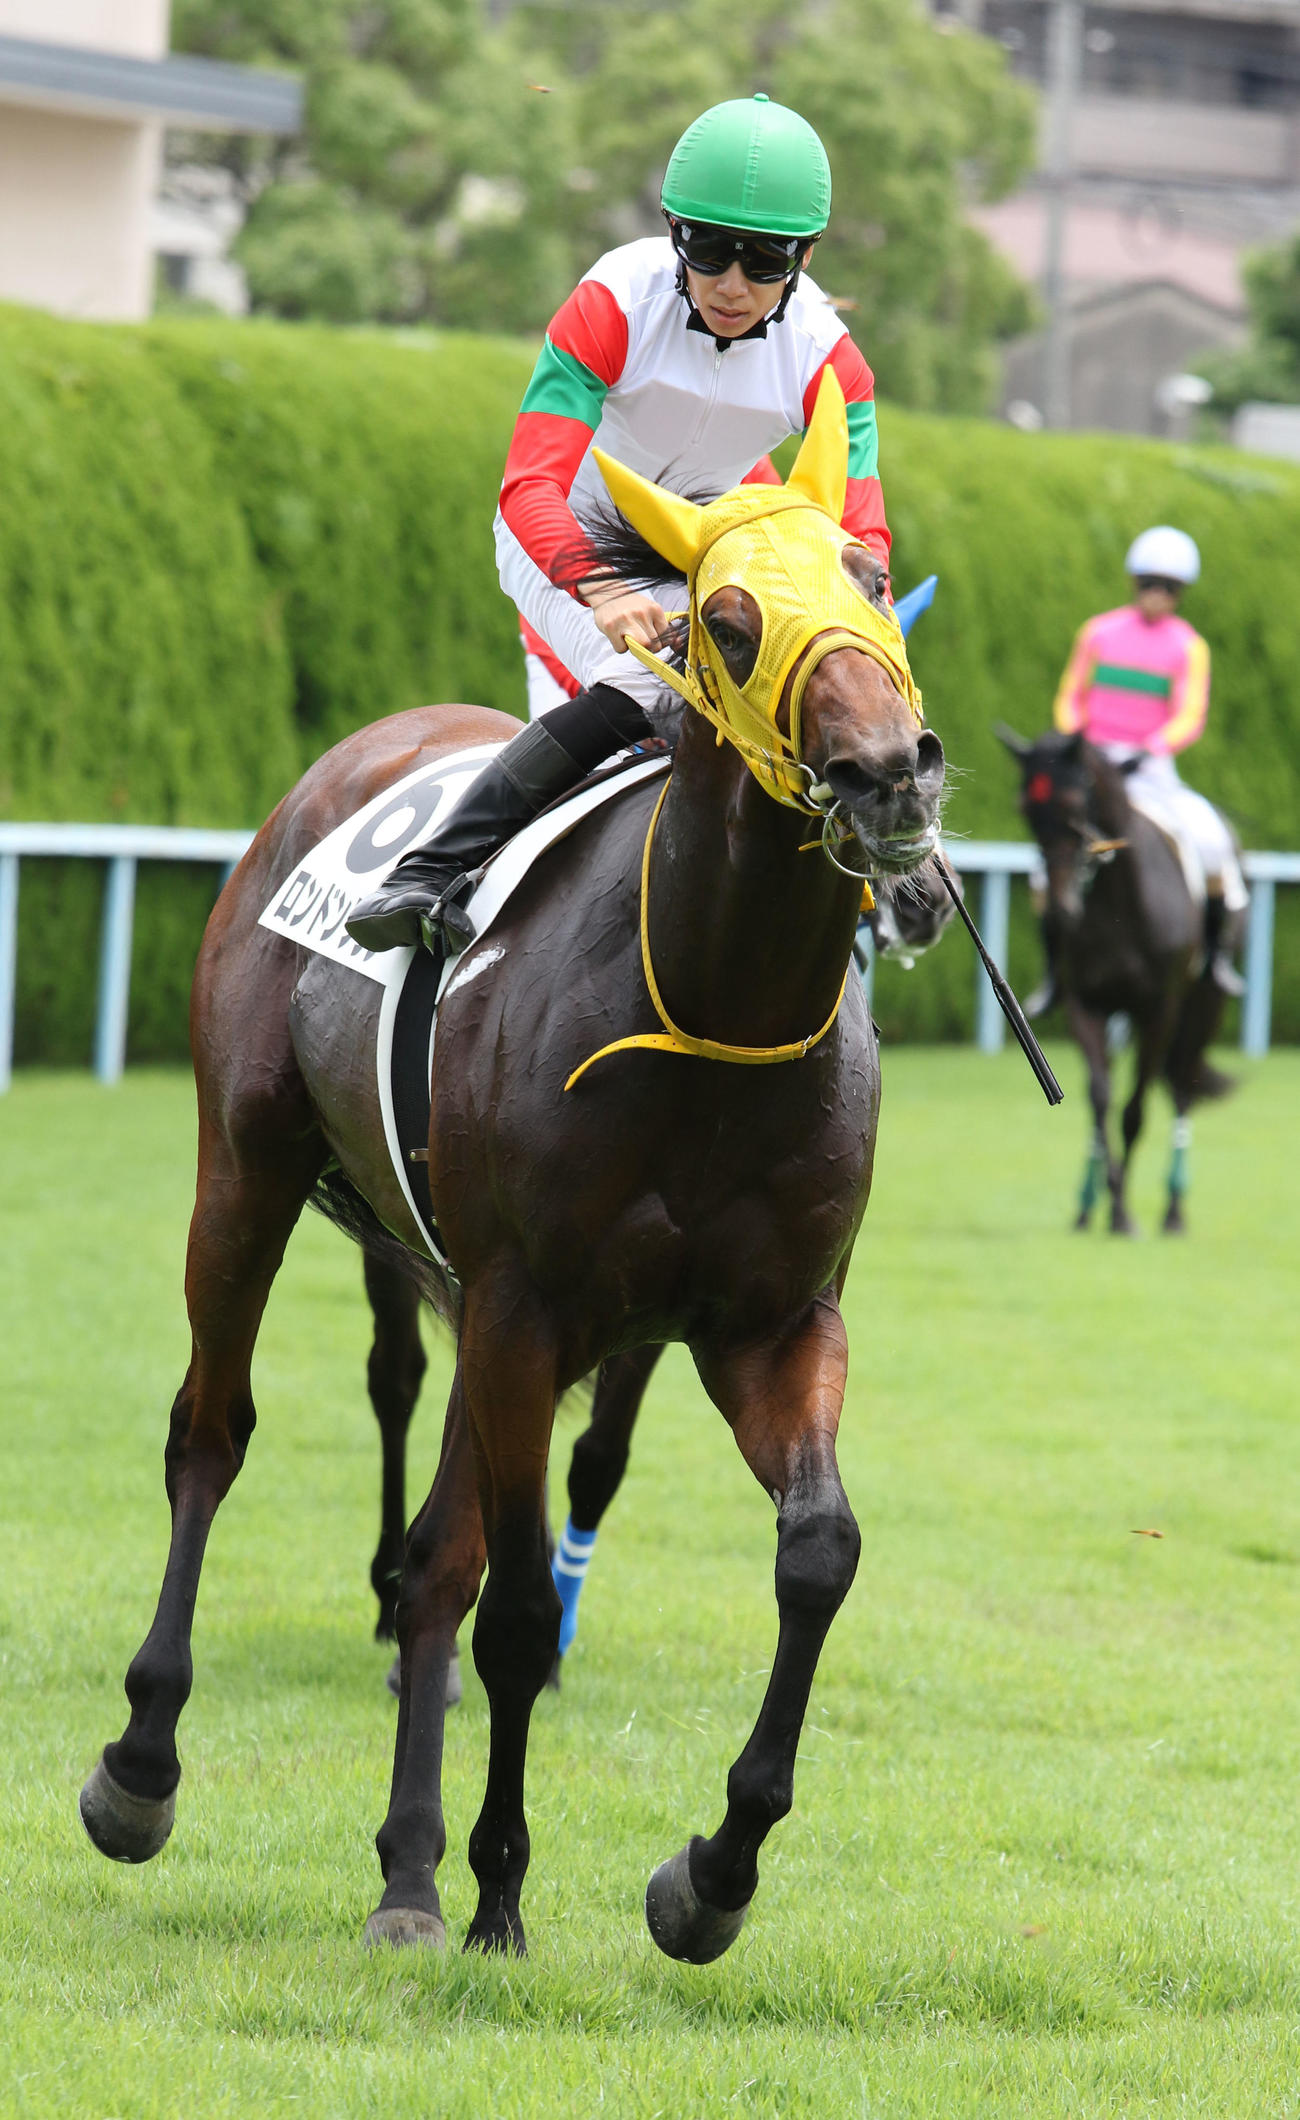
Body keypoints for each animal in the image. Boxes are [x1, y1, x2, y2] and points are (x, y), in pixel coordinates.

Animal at [80, 372, 945, 1963]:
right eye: (726, 622)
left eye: (868, 581)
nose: (887, 778)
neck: (712, 1009)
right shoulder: (527, 1309)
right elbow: (521, 1621)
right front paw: (501, 1889)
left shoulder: (766, 1324)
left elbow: (816, 1552)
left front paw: (708, 1875)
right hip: (250, 1173)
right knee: (210, 1435)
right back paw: (144, 1766)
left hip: (461, 1288)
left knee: (436, 1558)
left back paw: (405, 1873)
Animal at [998, 727, 1241, 1235]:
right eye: (1025, 808)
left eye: (1073, 804)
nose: (1059, 911)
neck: (1119, 902)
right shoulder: (1086, 1004)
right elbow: (1100, 1098)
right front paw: (1106, 1203)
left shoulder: (1159, 1010)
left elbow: (1134, 1109)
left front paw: (1125, 1214)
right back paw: (1090, 1204)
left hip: (1205, 1003)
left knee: (1184, 1084)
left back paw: (1173, 1210)